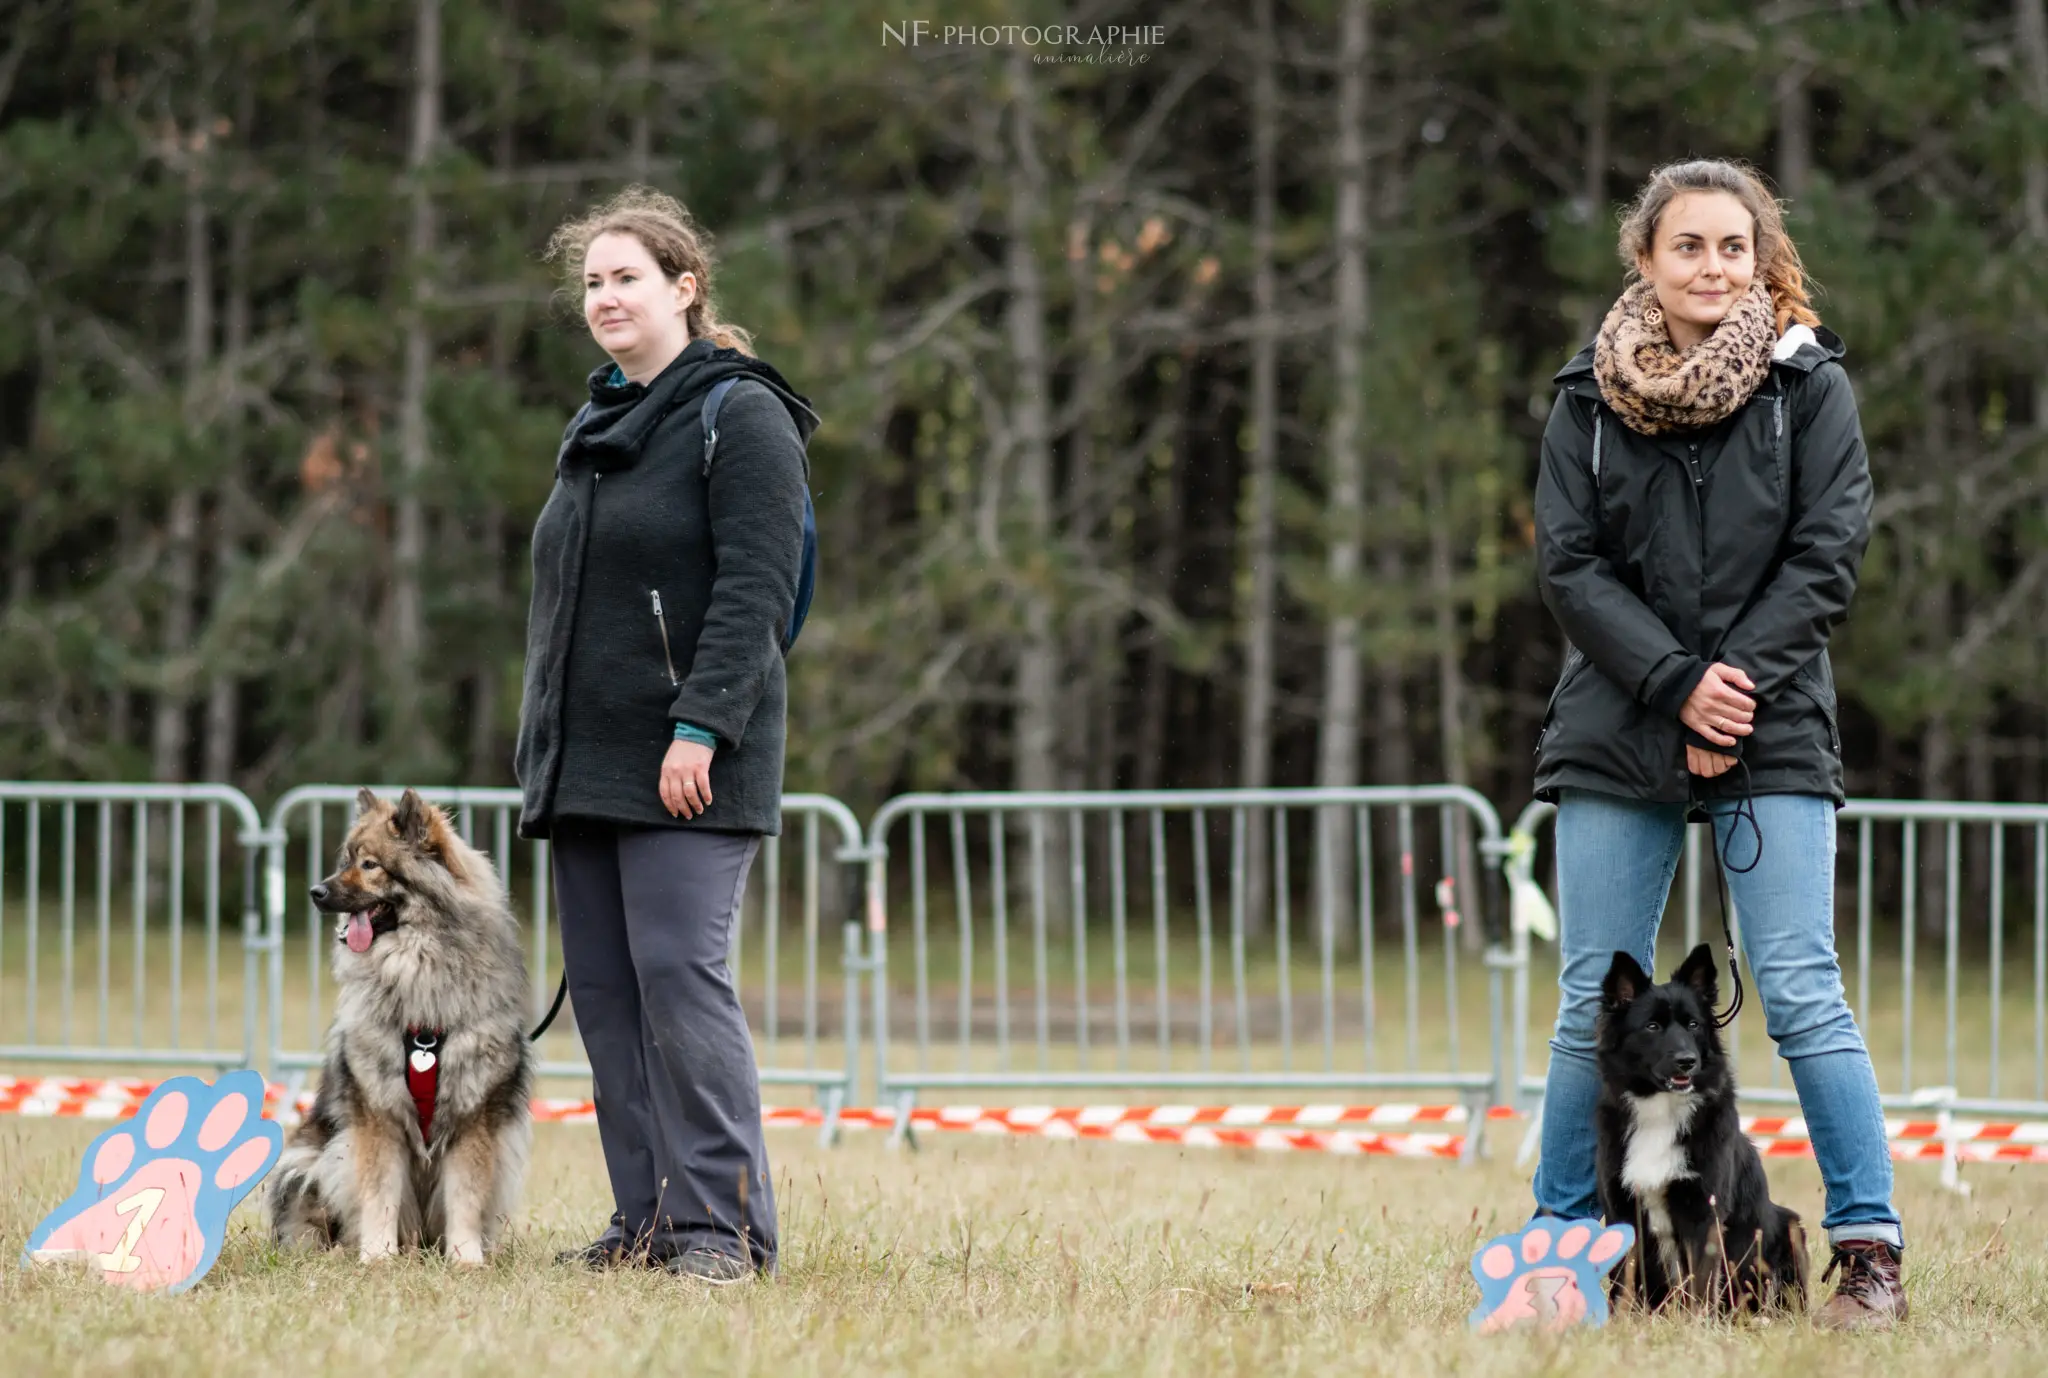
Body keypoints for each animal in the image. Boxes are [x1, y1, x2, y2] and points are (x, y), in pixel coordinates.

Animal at [266, 790, 536, 1261]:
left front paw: (466, 1259)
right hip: (305, 1162)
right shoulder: (379, 1113)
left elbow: (466, 1195)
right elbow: (380, 1192)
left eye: (370, 864)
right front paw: (378, 1256)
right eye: (346, 859)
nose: (316, 892)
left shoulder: (473, 1116)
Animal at [1597, 945, 1810, 1310]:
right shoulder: (1622, 1209)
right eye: (1652, 1026)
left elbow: (1701, 1282)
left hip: (1790, 1229)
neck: (1661, 1110)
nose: (1687, 1061)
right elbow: (1624, 1282)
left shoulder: (1704, 1214)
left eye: (1693, 1024)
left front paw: (1697, 1323)